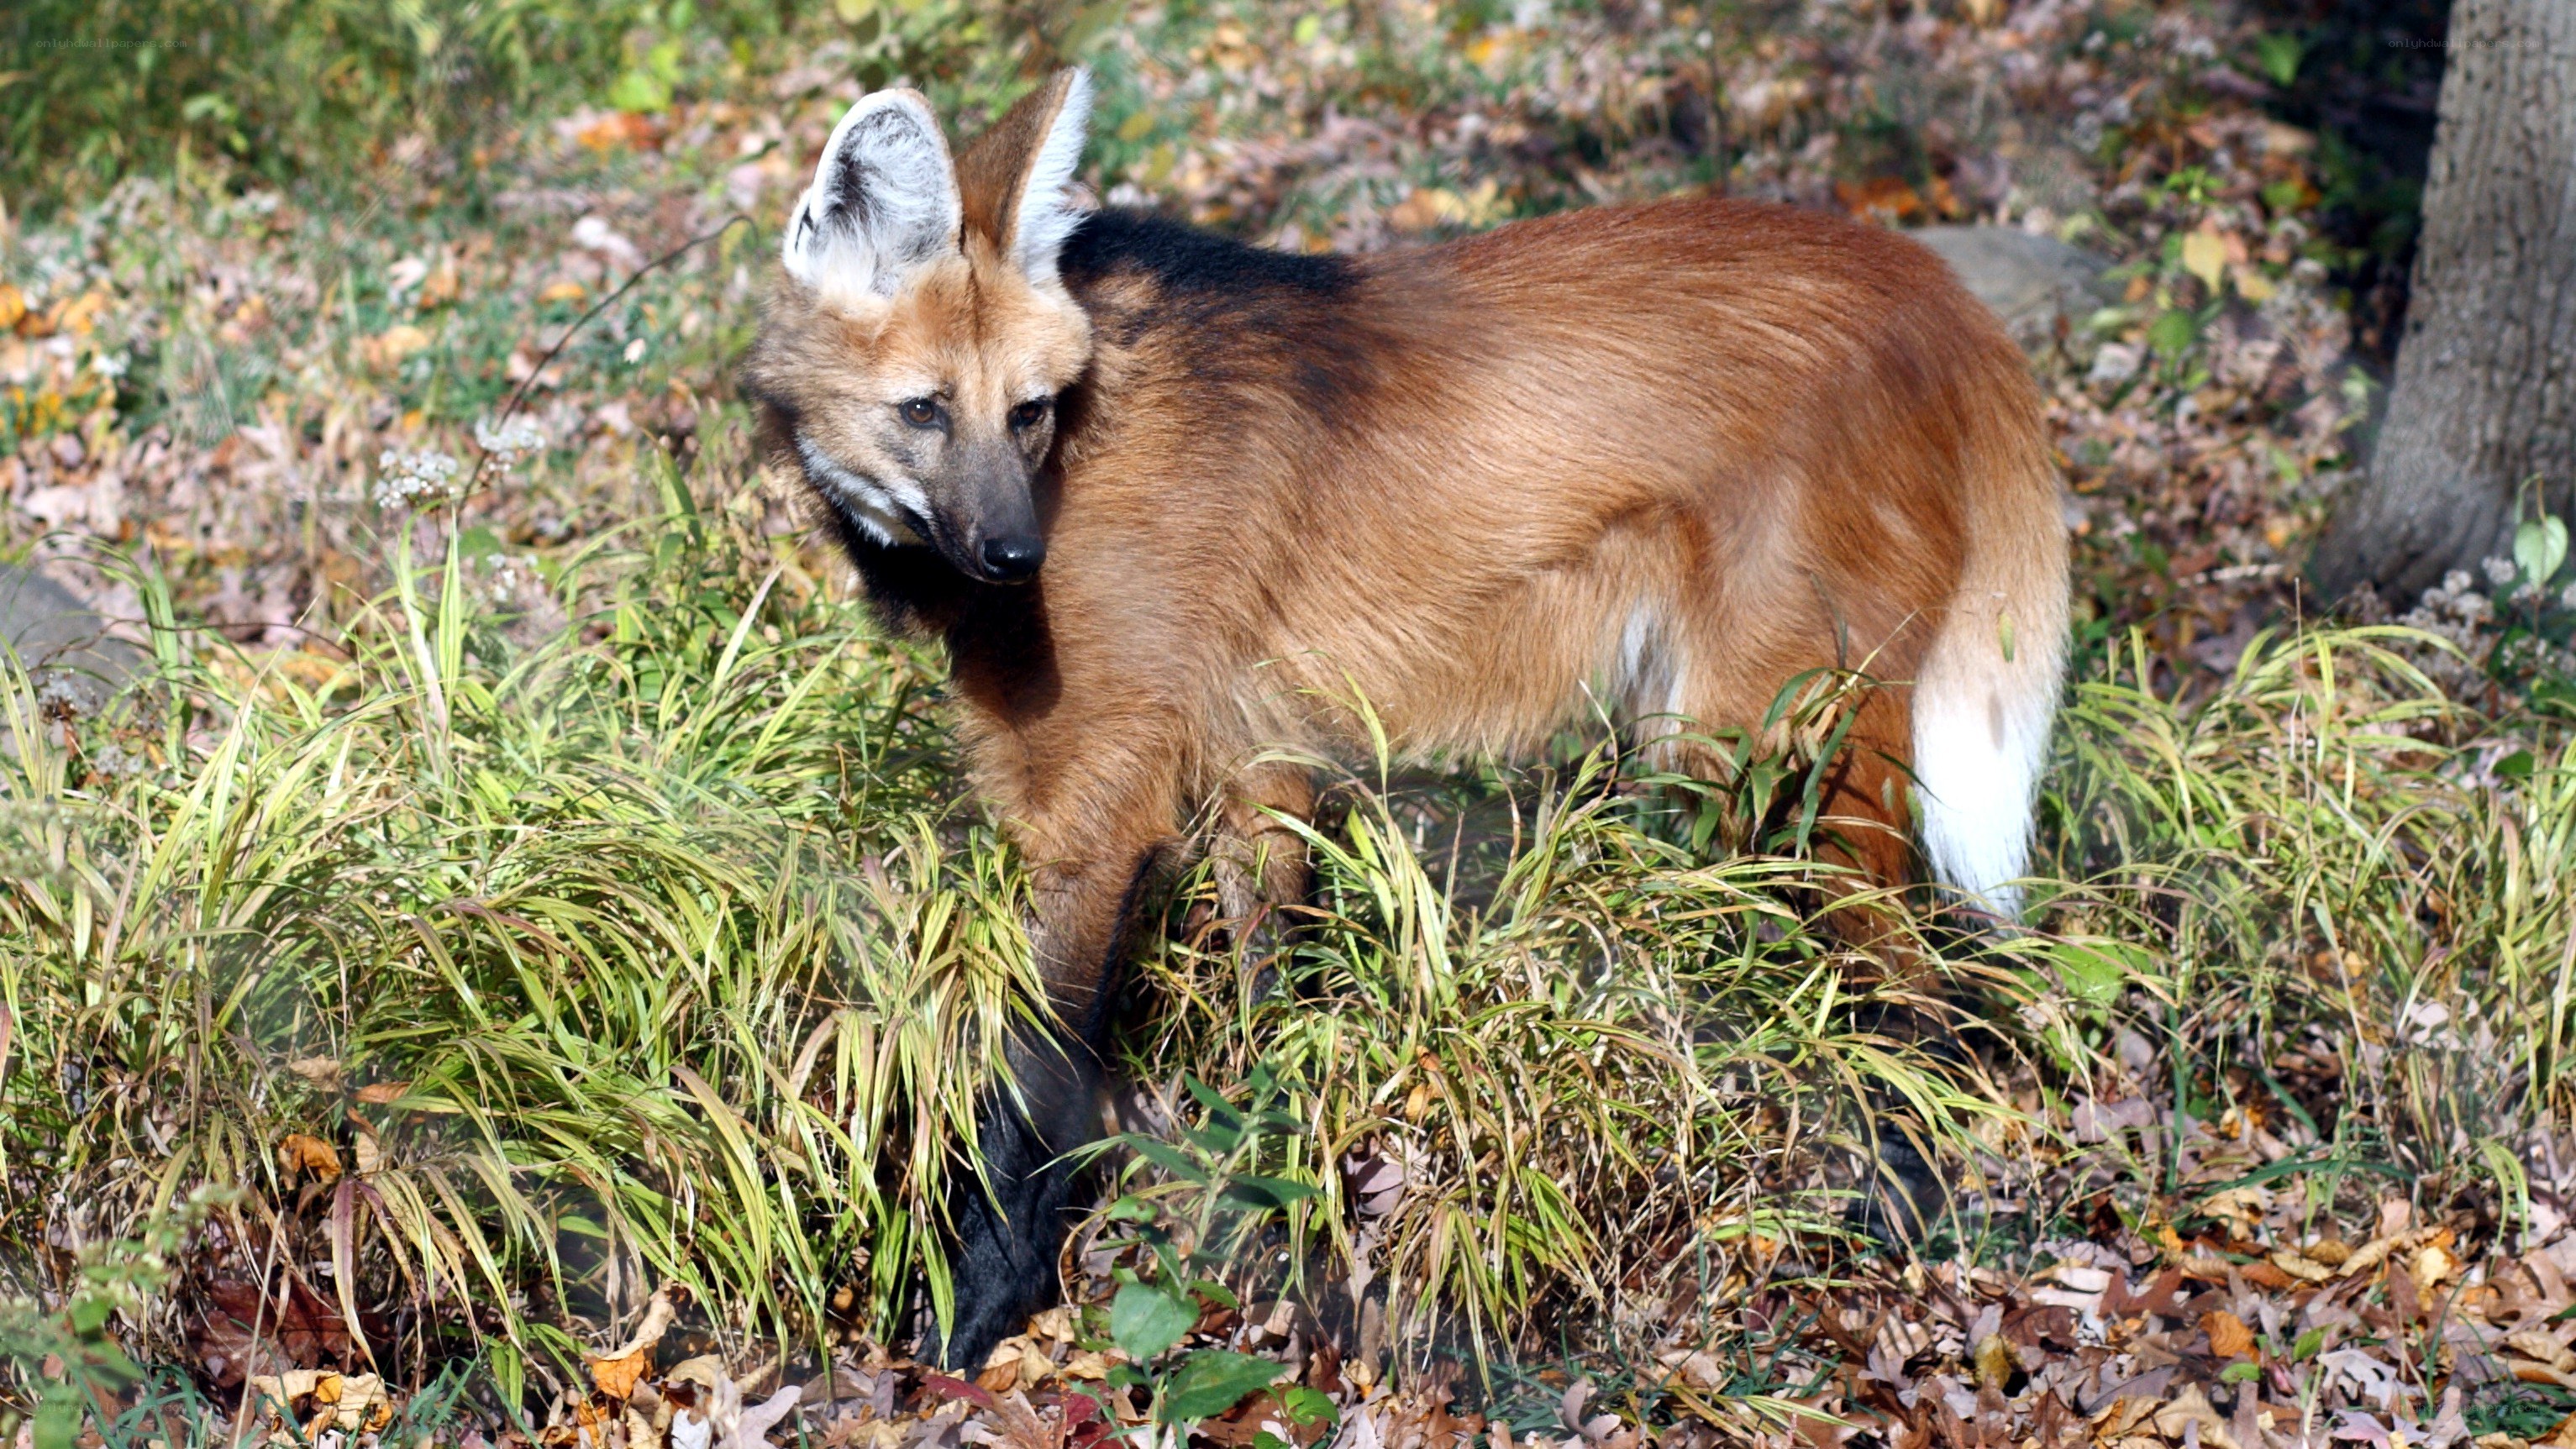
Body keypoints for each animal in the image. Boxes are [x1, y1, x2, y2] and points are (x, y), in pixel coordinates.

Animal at [741, 68, 2068, 1370]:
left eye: (1025, 412)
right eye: (924, 412)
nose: (1017, 557)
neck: (1079, 453)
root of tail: (1936, 289)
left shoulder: (1098, 814)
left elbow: (1031, 1084)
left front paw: (969, 1318)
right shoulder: (1254, 759)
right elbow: (1275, 1003)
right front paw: (1276, 1216)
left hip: (1761, 738)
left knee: (1917, 997)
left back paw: (1893, 1225)